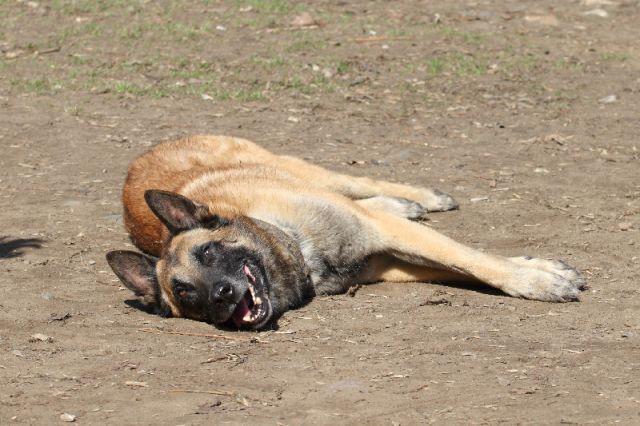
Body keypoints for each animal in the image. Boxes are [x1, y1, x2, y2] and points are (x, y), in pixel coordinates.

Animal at [105, 136, 584, 330]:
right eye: (185, 293)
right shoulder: (386, 263)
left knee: (360, 184)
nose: (222, 295)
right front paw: (537, 270)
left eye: (207, 253)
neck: (299, 251)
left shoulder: (384, 232)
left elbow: (471, 258)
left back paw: (421, 197)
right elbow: (461, 269)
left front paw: (535, 279)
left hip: (302, 169)